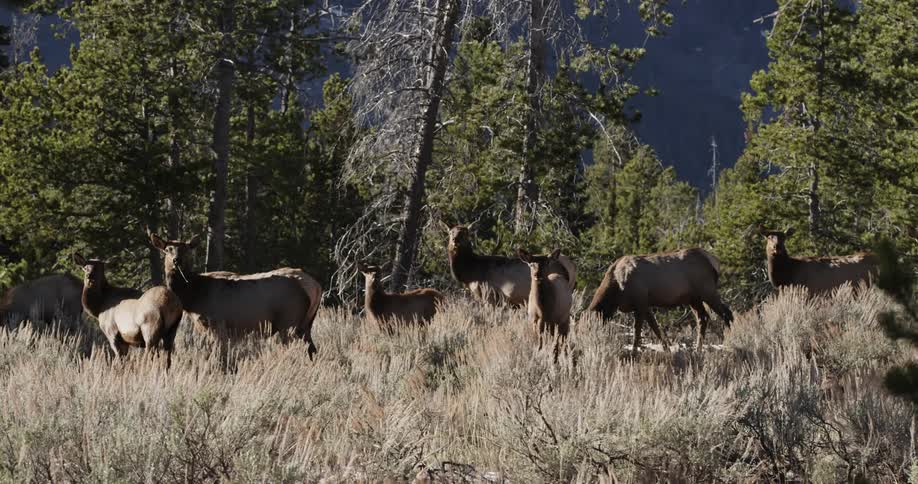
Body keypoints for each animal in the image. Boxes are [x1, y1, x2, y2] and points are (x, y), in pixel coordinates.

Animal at [149, 232, 317, 358]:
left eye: (186, 250)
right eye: (168, 249)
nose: (176, 260)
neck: (193, 297)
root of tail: (315, 286)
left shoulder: (217, 325)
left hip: (288, 322)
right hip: (305, 324)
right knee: (312, 349)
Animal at [444, 223, 576, 307]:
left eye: (465, 233)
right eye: (450, 232)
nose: (455, 240)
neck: (469, 272)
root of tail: (570, 266)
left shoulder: (489, 294)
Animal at [588, 248, 733, 351]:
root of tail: (715, 262)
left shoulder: (640, 301)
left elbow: (637, 331)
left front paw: (634, 352)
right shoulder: (645, 305)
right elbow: (655, 328)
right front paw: (667, 349)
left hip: (707, 290)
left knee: (727, 313)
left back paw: (731, 343)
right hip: (694, 298)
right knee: (703, 317)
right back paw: (698, 350)